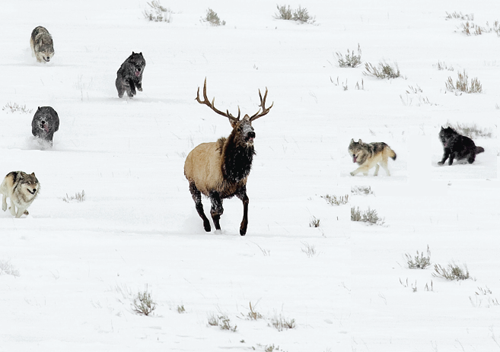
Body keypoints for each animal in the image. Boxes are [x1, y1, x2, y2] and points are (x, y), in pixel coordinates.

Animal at [184, 78, 274, 235]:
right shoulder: (213, 189)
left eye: (252, 127)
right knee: (199, 206)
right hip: (192, 183)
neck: (232, 173)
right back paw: (207, 226)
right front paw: (218, 229)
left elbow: (246, 201)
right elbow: (216, 211)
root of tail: (189, 154)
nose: (252, 134)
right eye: (239, 128)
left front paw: (243, 228)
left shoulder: (240, 187)